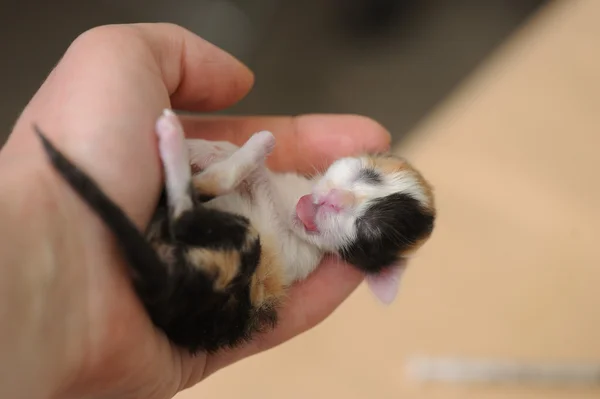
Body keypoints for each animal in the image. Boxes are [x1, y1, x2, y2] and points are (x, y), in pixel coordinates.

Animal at [36, 108, 436, 354]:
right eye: (368, 175)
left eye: (367, 233)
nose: (336, 200)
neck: (290, 206)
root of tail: (166, 289)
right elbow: (234, 158)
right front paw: (205, 146)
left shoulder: (286, 247)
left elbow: (251, 179)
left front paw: (236, 150)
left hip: (241, 244)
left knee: (189, 210)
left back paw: (181, 136)